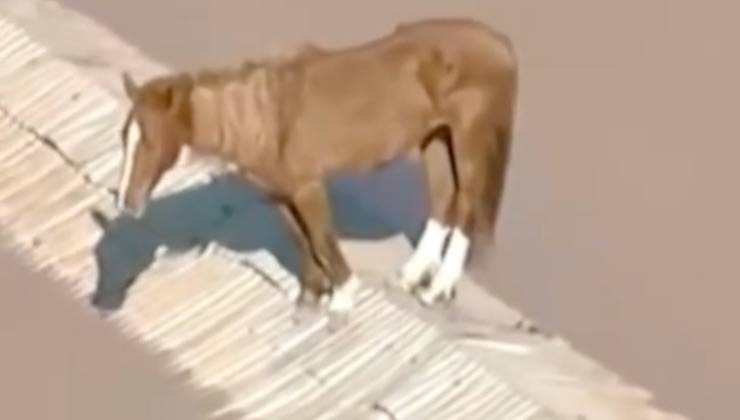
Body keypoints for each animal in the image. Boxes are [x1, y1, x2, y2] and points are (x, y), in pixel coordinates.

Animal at [116, 17, 518, 317]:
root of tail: (502, 44)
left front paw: (342, 298)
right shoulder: (280, 194)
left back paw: (437, 289)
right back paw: (411, 276)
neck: (264, 115)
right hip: (436, 139)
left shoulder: (308, 187)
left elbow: (322, 238)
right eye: (124, 137)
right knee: (443, 200)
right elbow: (302, 239)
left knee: (466, 206)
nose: (126, 203)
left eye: (149, 140)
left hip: (470, 140)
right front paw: (311, 296)